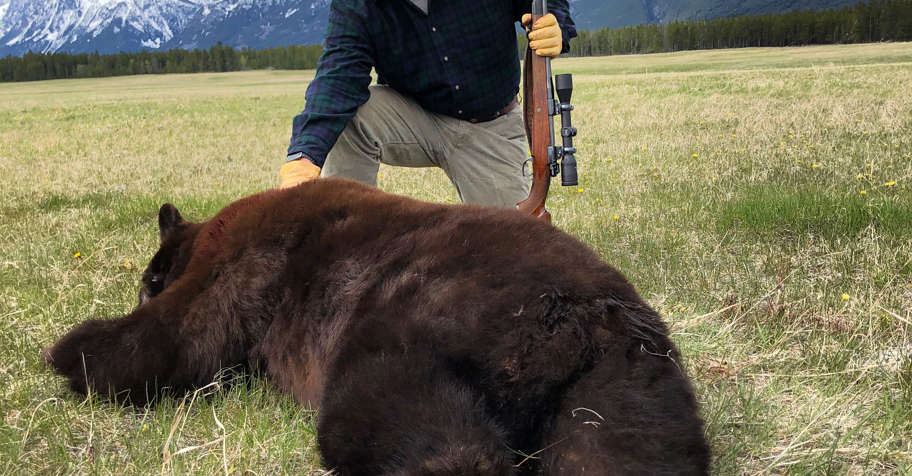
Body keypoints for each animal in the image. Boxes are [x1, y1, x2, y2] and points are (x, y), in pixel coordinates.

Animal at [43, 178, 710, 475]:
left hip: (403, 336)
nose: (143, 282)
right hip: (627, 385)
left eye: (148, 278)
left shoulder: (232, 271)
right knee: (622, 453)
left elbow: (179, 335)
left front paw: (72, 353)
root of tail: (567, 317)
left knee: (413, 435)